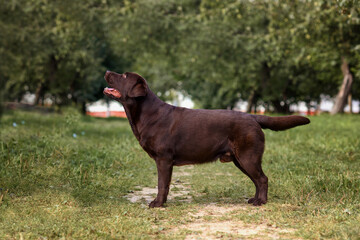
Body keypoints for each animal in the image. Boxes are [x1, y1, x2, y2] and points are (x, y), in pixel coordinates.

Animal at [103, 70, 310, 207]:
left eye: (123, 76)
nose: (106, 71)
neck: (146, 113)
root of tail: (252, 116)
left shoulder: (163, 159)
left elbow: (162, 185)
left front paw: (158, 203)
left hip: (248, 157)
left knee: (263, 178)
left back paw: (261, 202)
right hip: (240, 160)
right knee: (258, 180)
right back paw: (255, 199)